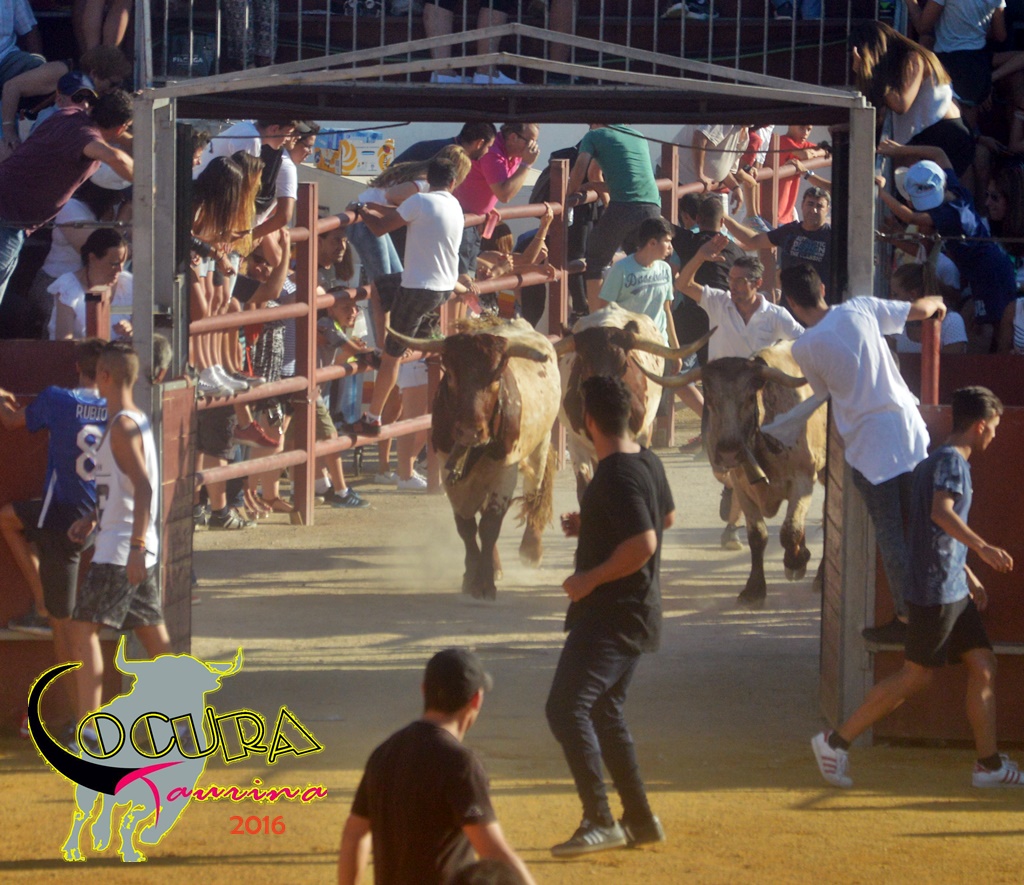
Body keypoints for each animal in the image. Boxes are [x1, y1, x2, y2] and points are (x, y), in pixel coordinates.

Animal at [28, 637, 242, 862]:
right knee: (83, 813)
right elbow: (126, 818)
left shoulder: (179, 786)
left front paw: (145, 838)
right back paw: (75, 849)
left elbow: (153, 815)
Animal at [388, 317, 561, 600]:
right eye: (451, 375)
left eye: (496, 376)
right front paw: (472, 576)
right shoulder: (449, 472)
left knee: (533, 492)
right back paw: (497, 564)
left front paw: (485, 582)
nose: (471, 431)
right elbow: (467, 526)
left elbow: (490, 525)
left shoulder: (505, 471)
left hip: (541, 444)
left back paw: (531, 549)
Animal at [641, 341, 827, 609]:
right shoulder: (742, 485)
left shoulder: (804, 479)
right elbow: (757, 535)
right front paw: (754, 589)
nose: (728, 452)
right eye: (709, 397)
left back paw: (820, 575)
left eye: (750, 397)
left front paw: (796, 561)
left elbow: (790, 529)